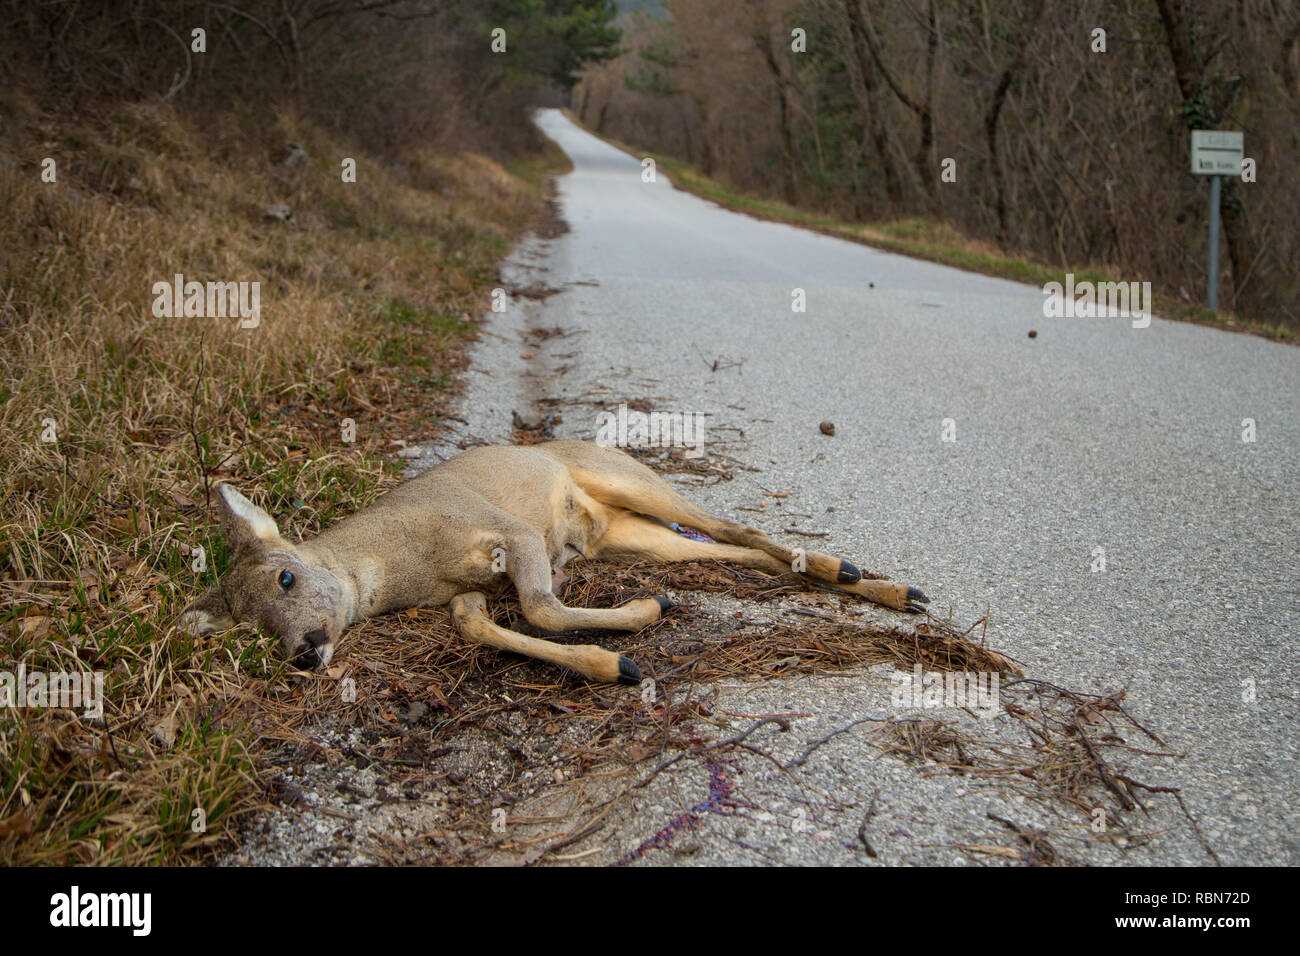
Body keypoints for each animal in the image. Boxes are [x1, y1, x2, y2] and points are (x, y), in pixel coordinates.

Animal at [183, 442, 930, 681]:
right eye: (253, 631)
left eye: (286, 576)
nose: (305, 652)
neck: (399, 564)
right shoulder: (463, 590)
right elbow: (479, 626)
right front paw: (612, 662)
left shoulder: (508, 531)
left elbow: (541, 605)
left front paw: (643, 617)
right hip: (629, 534)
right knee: (732, 547)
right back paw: (875, 587)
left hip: (630, 480)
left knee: (730, 522)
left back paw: (863, 577)